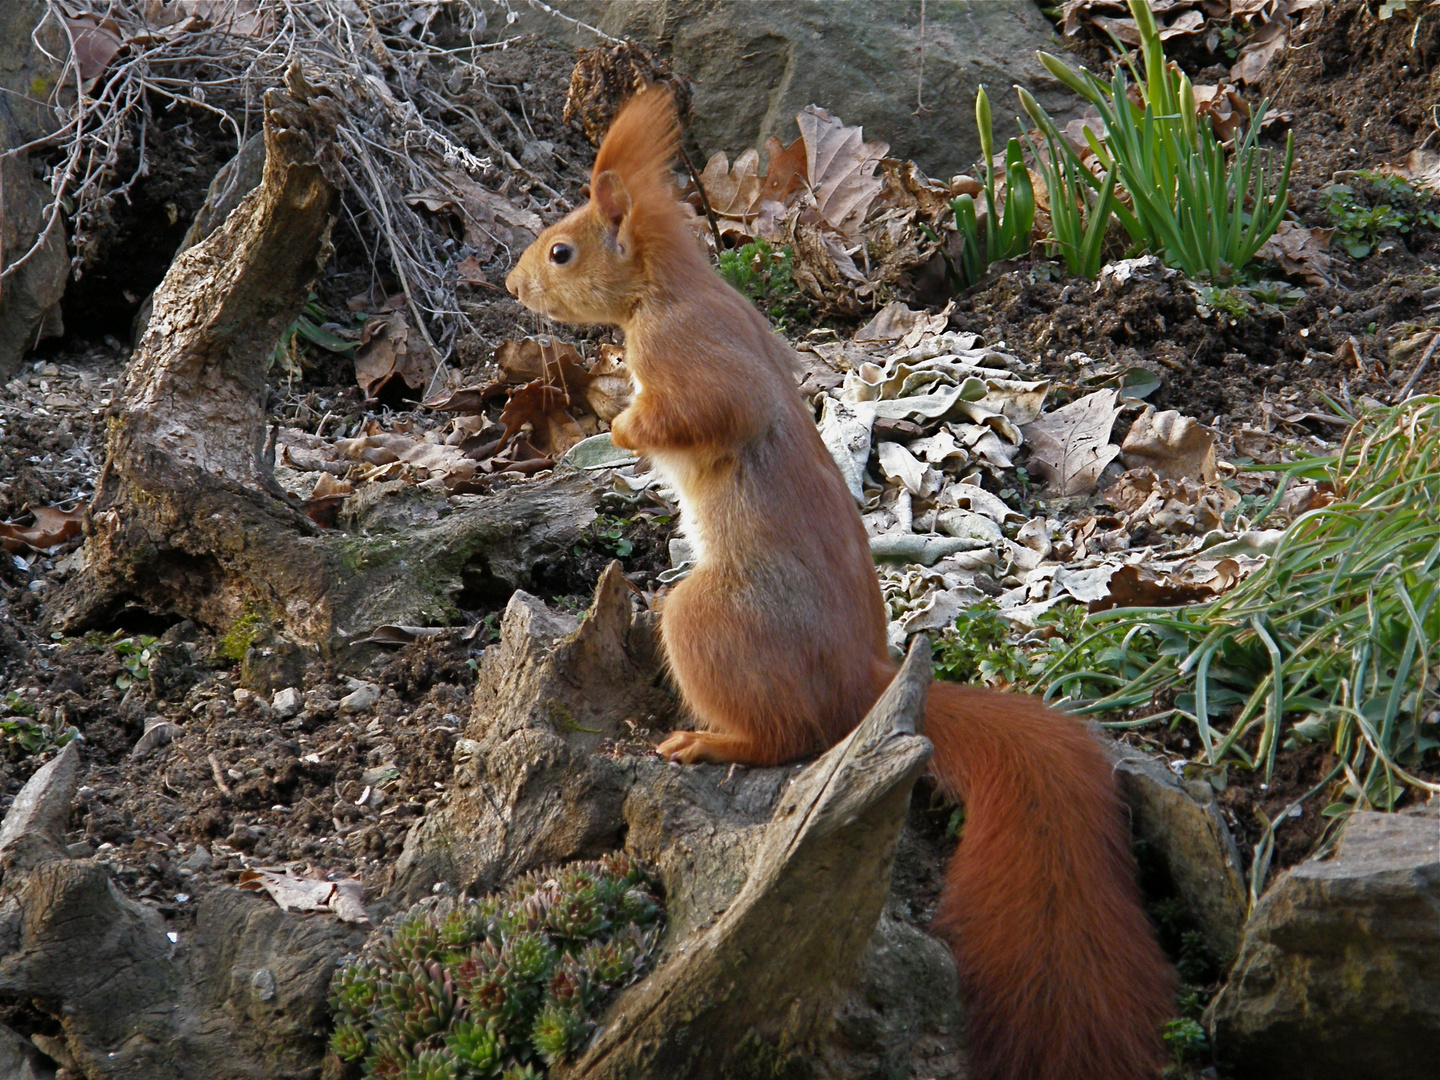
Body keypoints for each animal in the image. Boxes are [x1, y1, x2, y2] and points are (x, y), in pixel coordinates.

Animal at [501, 91, 1175, 1080]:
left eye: (562, 250)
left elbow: (706, 412)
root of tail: (868, 684)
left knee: (788, 738)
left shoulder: (695, 356)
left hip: (709, 621)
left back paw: (708, 743)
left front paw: (620, 423)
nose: (513, 287)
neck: (670, 291)